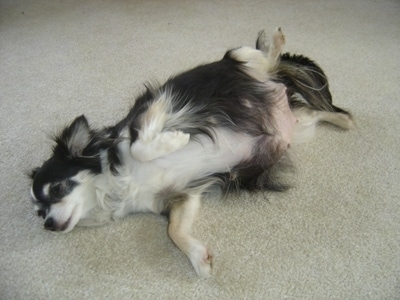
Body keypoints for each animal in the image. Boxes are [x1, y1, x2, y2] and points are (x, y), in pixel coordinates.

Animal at [28, 28, 354, 276]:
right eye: (38, 213)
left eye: (57, 189)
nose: (48, 225)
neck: (117, 188)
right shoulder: (181, 197)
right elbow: (175, 231)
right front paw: (199, 258)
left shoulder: (153, 111)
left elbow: (140, 144)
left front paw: (176, 141)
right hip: (296, 129)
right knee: (316, 112)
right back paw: (345, 121)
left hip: (241, 62)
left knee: (261, 57)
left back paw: (272, 39)